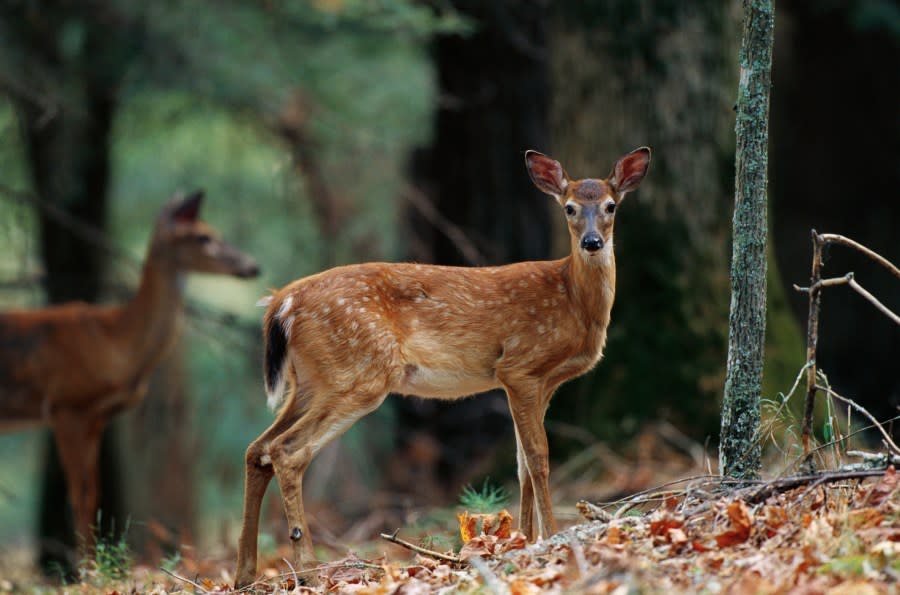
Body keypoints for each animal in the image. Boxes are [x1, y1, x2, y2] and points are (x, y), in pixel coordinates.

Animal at [236, 148, 652, 588]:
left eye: (610, 206)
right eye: (570, 207)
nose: (592, 242)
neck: (573, 301)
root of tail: (281, 302)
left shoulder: (540, 383)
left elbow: (521, 464)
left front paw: (523, 538)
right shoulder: (520, 367)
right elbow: (538, 456)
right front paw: (551, 535)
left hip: (311, 381)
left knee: (257, 449)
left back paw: (245, 573)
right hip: (359, 372)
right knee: (286, 451)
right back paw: (308, 569)